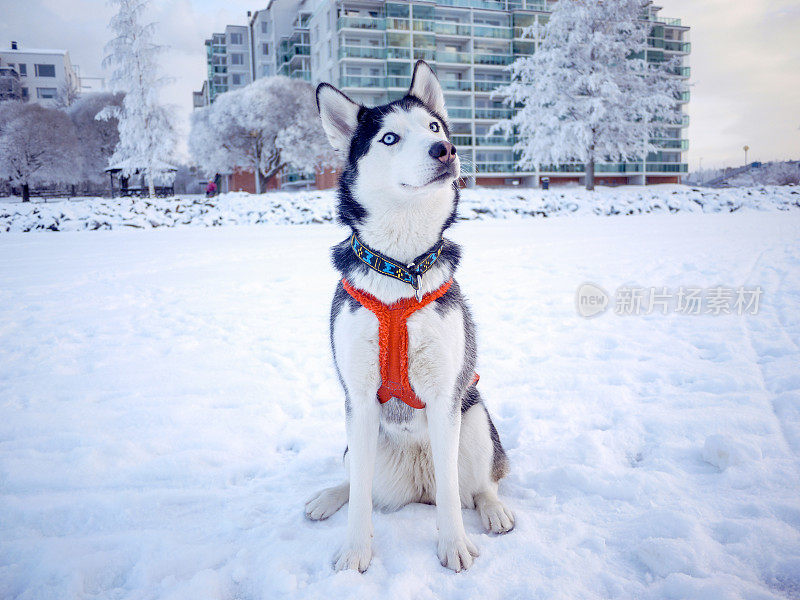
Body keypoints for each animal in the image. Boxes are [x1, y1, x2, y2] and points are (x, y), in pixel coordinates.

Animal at [306, 61, 512, 572]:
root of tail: (419, 485)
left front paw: (454, 545)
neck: (400, 269)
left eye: (434, 127)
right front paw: (355, 551)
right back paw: (327, 496)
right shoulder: (358, 399)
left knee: (479, 484)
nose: (446, 149)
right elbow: (360, 497)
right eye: (390, 138)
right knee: (358, 481)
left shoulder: (445, 395)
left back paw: (493, 509)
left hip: (475, 420)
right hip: (362, 447)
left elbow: (456, 497)